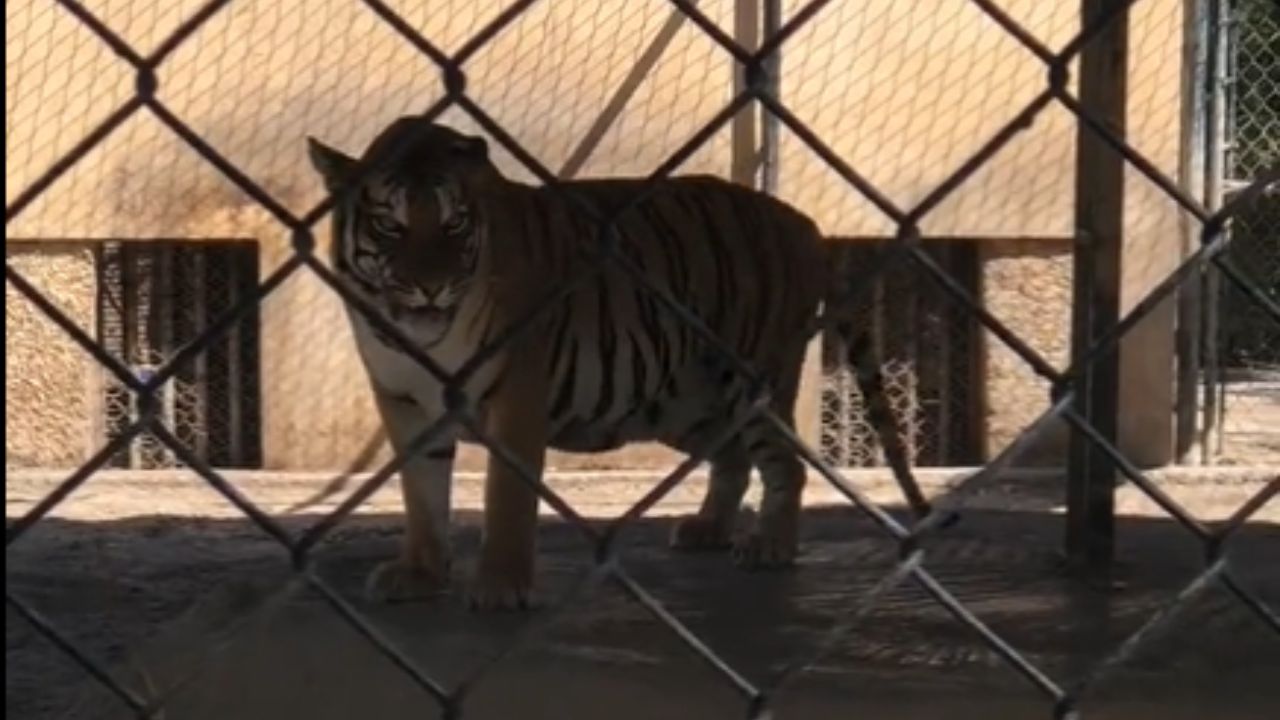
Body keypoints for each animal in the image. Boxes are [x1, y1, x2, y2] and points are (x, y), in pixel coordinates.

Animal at [306, 116, 921, 611]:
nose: (431, 287)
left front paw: (501, 586)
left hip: (753, 377)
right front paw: (421, 573)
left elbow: (506, 498)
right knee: (732, 459)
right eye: (390, 226)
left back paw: (770, 545)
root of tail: (803, 222)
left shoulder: (515, 396)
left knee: (783, 463)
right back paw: (708, 529)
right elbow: (421, 493)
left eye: (454, 225)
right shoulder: (404, 402)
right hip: (686, 403)